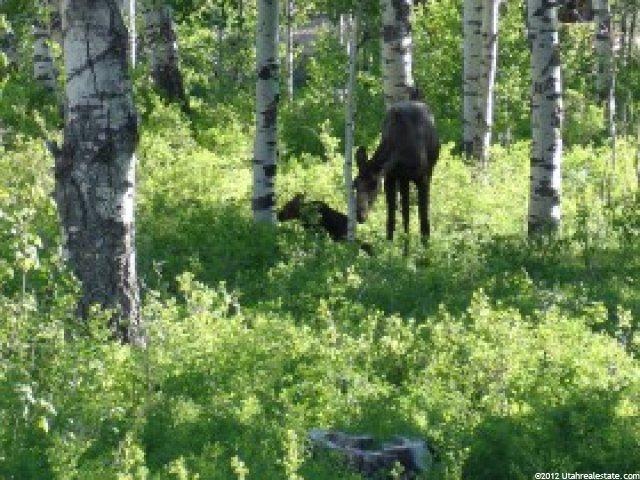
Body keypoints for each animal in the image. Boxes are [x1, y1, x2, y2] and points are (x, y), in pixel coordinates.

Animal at [353, 99, 440, 245]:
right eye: (354, 184)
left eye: (374, 184)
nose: (360, 215)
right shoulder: (390, 178)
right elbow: (391, 219)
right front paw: (388, 248)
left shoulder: (422, 178)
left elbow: (424, 220)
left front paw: (426, 249)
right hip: (403, 179)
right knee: (405, 214)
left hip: (427, 171)